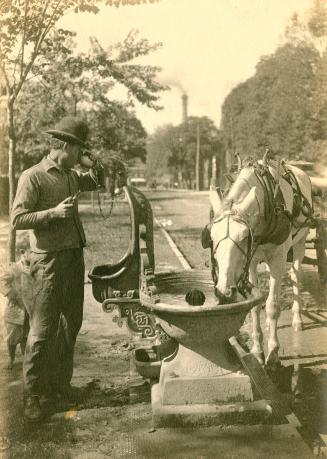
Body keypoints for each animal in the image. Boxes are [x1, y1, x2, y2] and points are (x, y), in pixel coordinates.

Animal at [209, 158, 314, 366]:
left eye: (243, 237)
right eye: (211, 237)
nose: (224, 292)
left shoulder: (278, 260)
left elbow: (273, 305)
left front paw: (273, 353)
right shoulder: (251, 261)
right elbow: (255, 305)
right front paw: (257, 350)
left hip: (301, 242)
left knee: (295, 276)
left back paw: (297, 319)